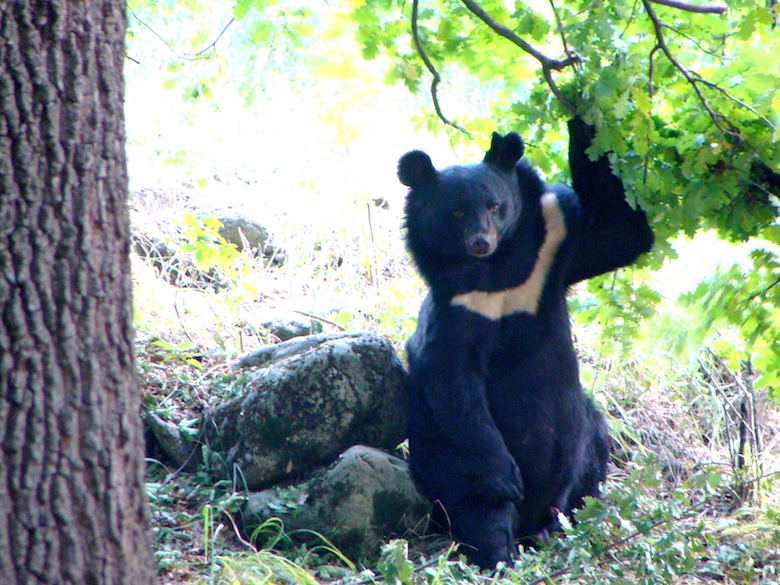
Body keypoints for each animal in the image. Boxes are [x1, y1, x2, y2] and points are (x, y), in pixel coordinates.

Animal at [396, 116, 652, 568]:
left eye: (496, 205)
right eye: (455, 211)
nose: (481, 242)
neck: (497, 275)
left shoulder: (554, 256)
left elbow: (620, 234)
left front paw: (580, 109)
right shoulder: (457, 311)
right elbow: (452, 382)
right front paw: (506, 477)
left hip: (586, 439)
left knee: (592, 460)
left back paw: (565, 526)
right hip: (442, 455)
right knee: (477, 507)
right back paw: (503, 552)